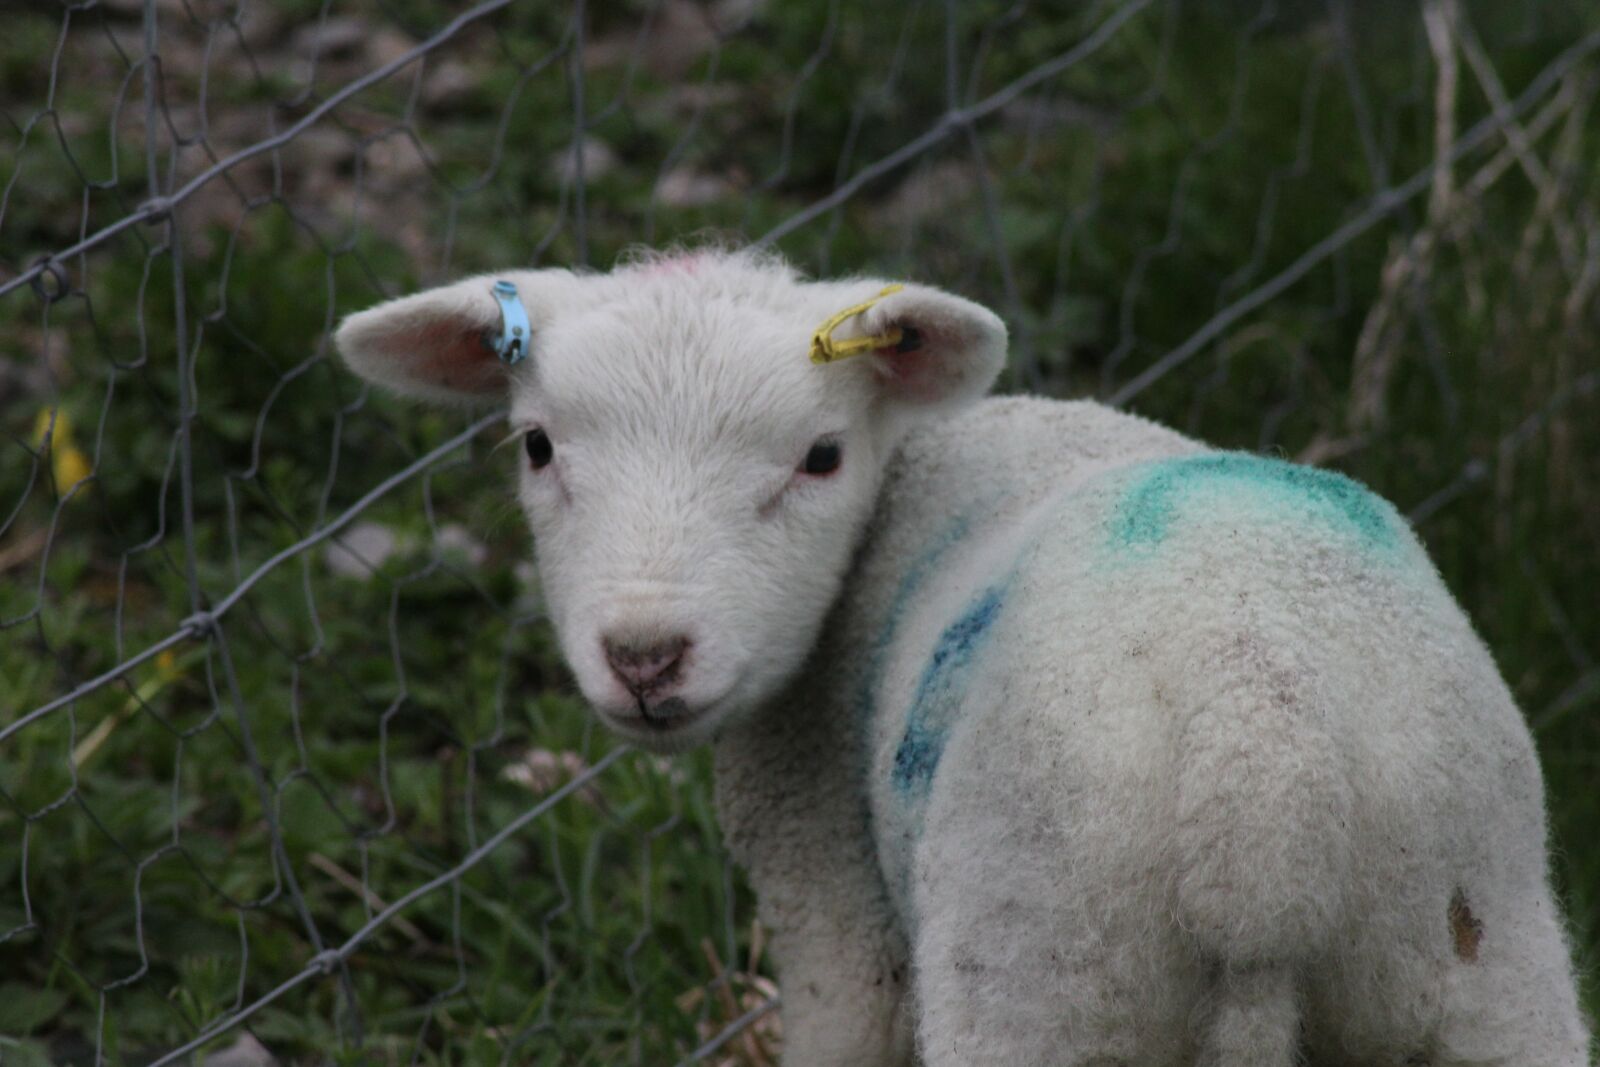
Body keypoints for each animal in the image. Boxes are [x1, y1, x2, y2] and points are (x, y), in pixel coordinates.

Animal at [335, 247, 1591, 1067]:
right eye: (537, 446)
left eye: (820, 456)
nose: (646, 655)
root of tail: (1267, 774)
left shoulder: (838, 912)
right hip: (1489, 955)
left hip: (1040, 961)